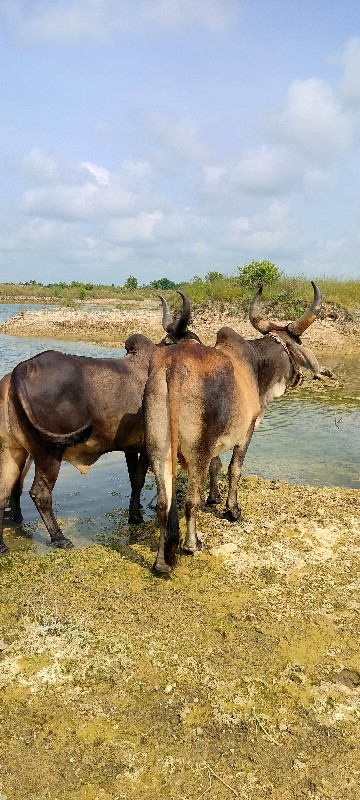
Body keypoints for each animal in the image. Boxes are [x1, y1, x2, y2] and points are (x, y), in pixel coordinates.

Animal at [0, 290, 197, 552]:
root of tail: (20, 369)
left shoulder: (130, 447)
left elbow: (134, 480)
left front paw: (135, 512)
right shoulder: (147, 446)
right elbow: (139, 479)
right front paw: (137, 515)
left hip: (15, 450)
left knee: (6, 490)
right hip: (48, 452)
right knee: (40, 493)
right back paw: (59, 537)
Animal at [145, 282, 322, 576]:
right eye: (297, 344)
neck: (256, 366)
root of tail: (173, 365)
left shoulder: (217, 441)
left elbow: (217, 466)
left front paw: (214, 498)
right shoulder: (246, 432)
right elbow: (234, 469)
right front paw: (232, 509)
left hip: (158, 449)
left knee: (163, 504)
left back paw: (161, 563)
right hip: (197, 449)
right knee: (190, 501)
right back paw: (192, 544)